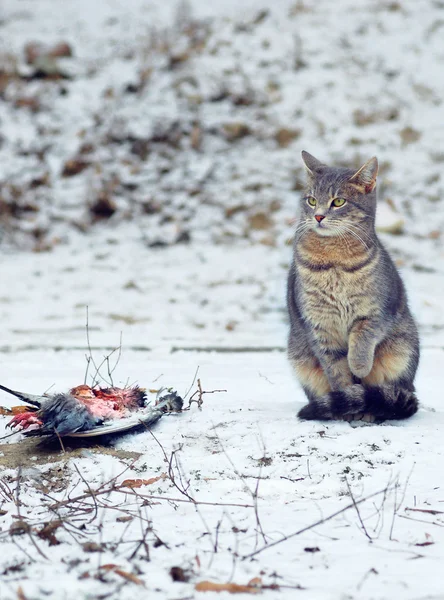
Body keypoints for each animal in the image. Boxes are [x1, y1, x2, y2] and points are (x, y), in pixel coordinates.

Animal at [288, 151, 420, 422]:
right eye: (311, 200)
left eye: (338, 201)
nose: (318, 216)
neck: (334, 260)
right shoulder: (318, 326)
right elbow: (337, 372)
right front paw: (346, 397)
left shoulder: (378, 312)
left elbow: (362, 337)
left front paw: (358, 365)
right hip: (300, 359)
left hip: (403, 350)